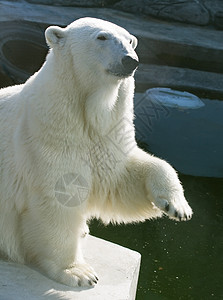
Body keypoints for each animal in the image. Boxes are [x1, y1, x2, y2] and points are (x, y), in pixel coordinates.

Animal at [0, 17, 192, 288]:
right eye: (101, 37)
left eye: (129, 40)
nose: (130, 60)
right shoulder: (47, 138)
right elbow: (59, 201)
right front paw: (79, 273)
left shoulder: (106, 136)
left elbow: (120, 178)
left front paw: (177, 206)